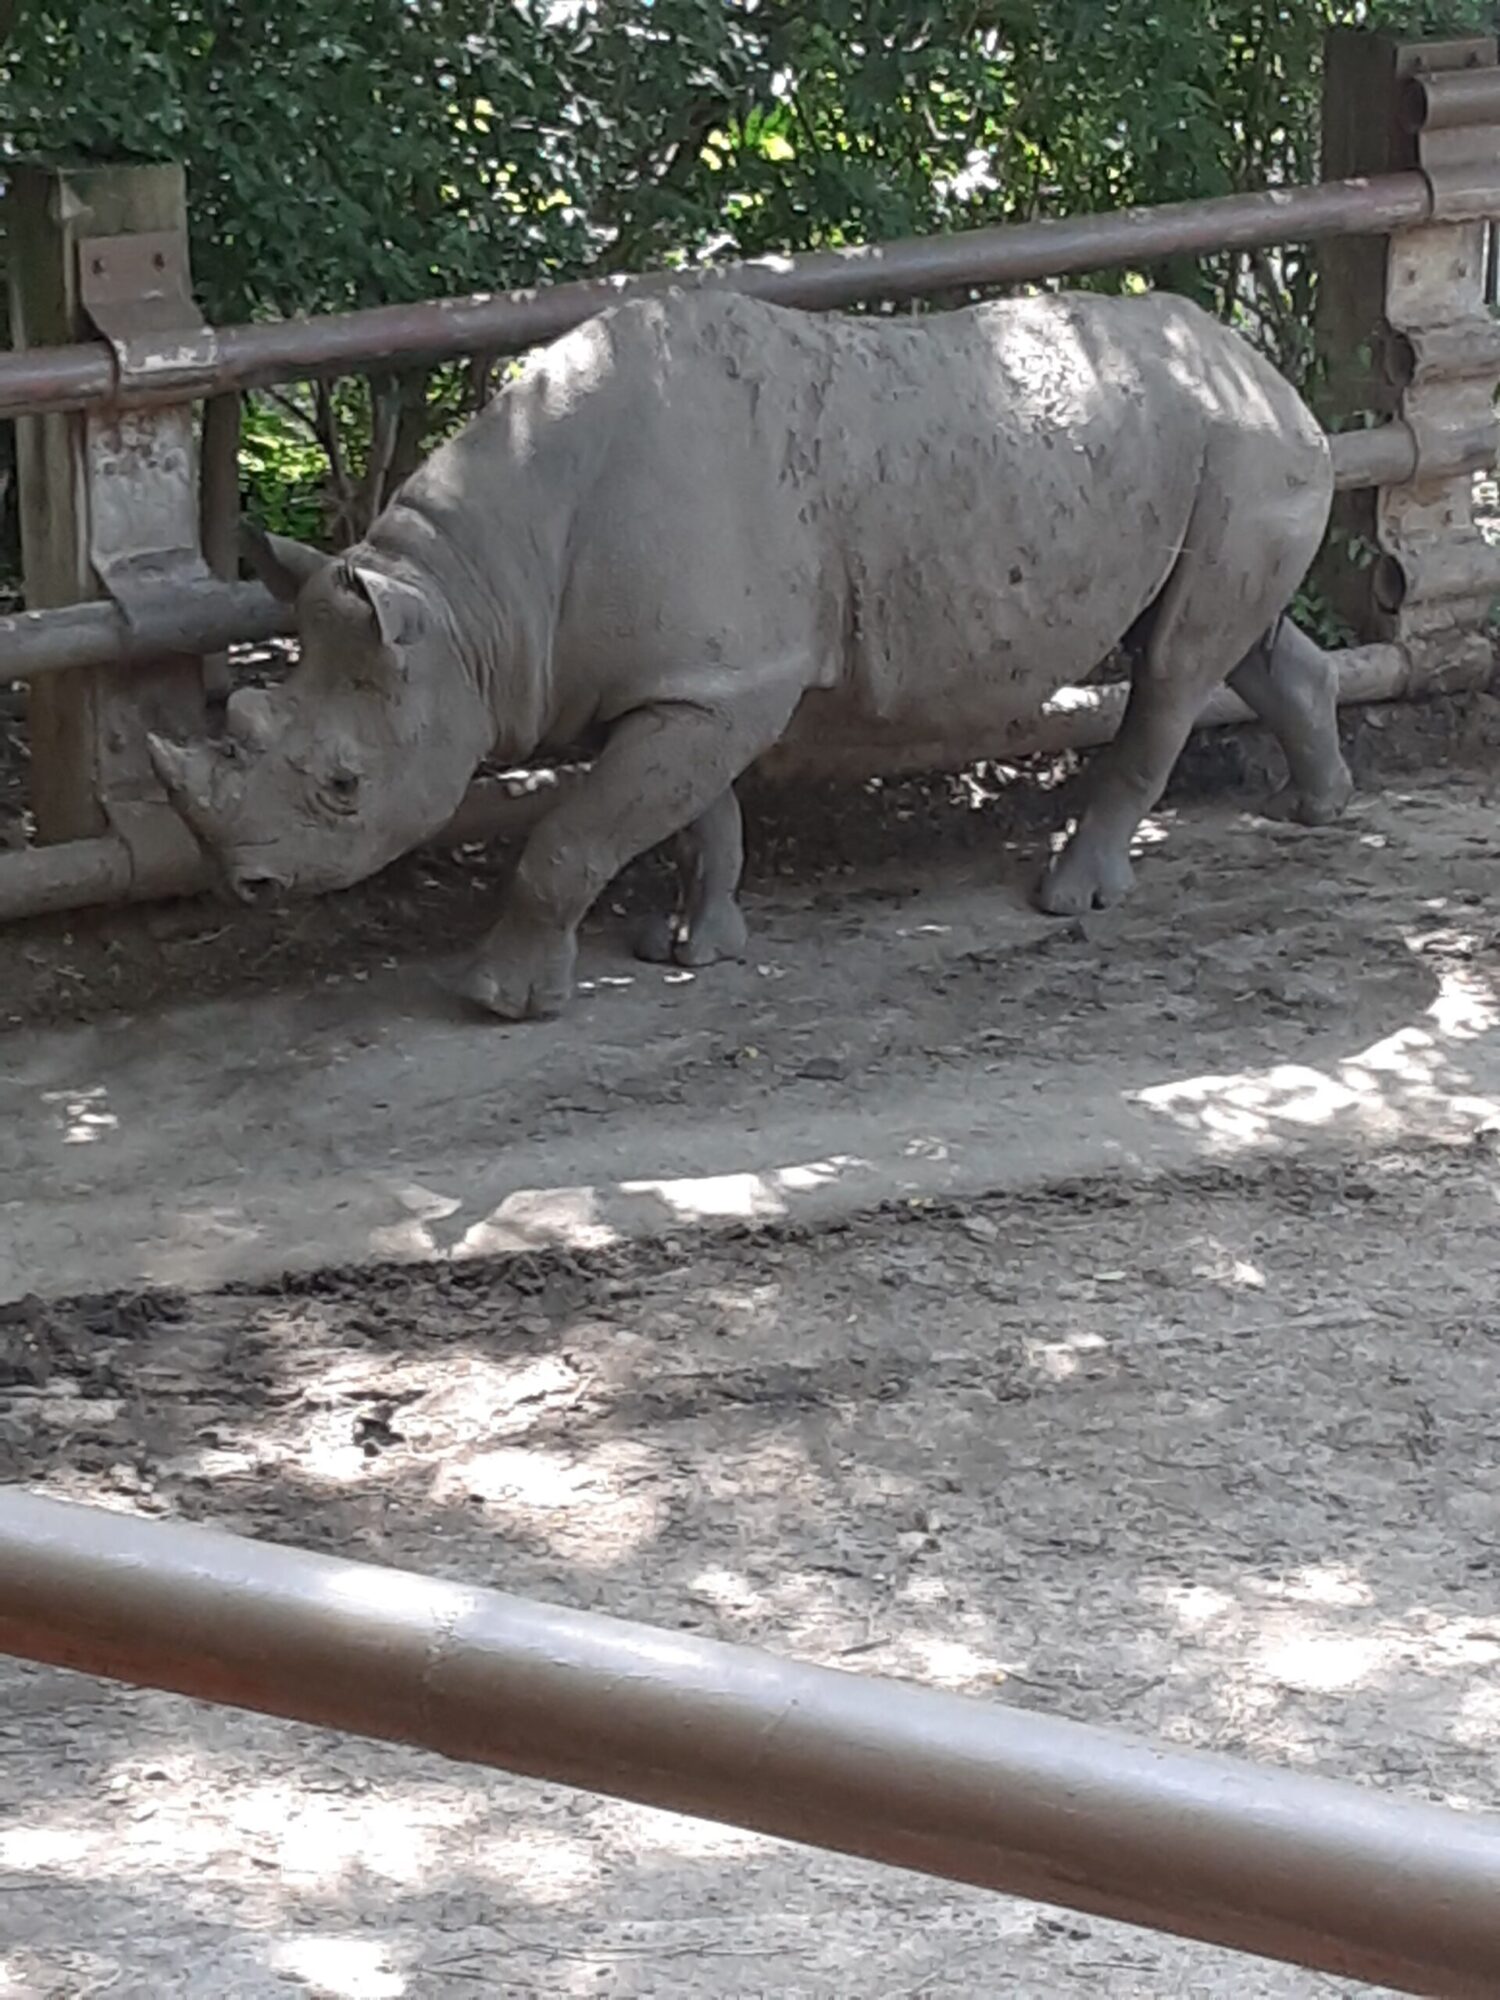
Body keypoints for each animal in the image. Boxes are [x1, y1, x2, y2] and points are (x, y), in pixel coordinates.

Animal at [150, 288, 1352, 1021]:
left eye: (345, 784)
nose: (246, 883)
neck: (468, 607)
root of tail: (1268, 369)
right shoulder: (698, 680)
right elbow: (698, 818)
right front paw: (695, 947)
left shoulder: (716, 685)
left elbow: (570, 838)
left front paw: (501, 1001)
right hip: (1219, 453)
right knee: (1213, 642)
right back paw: (1319, 810)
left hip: (1241, 446)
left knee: (1174, 667)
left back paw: (1068, 898)